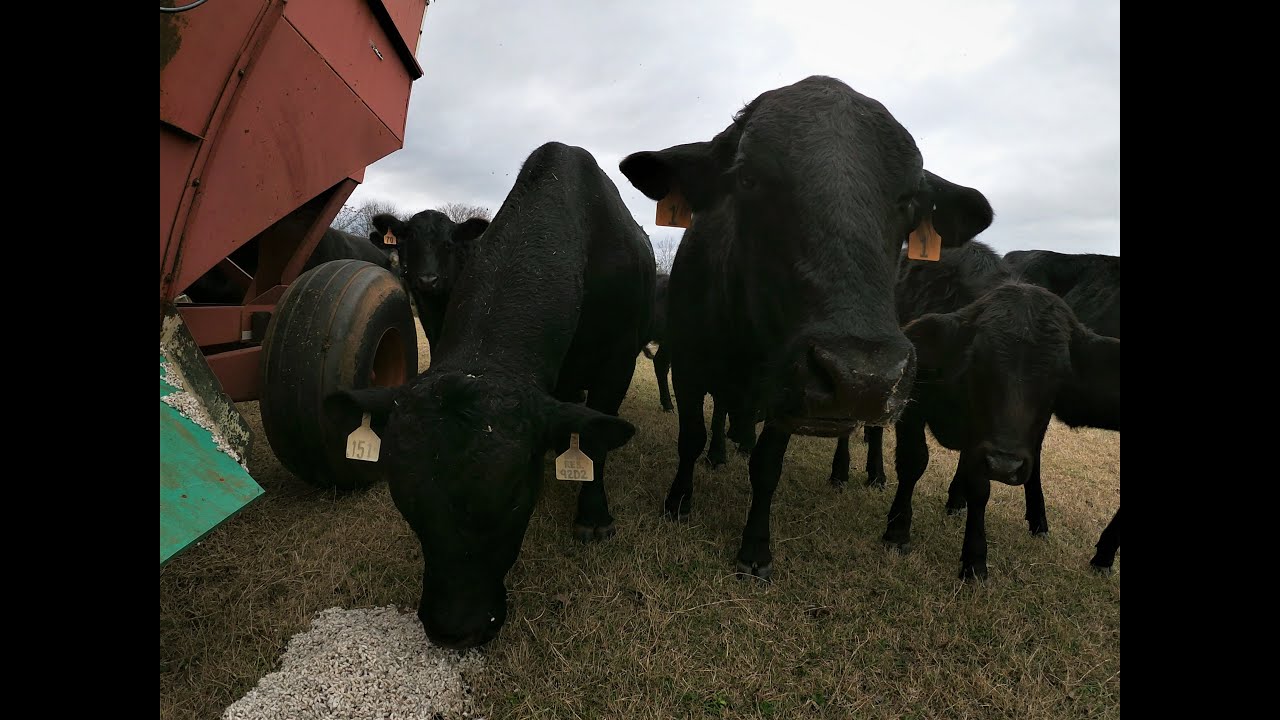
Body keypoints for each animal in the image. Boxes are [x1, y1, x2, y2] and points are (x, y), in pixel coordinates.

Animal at [619, 75, 994, 580]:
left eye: (911, 200)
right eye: (747, 178)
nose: (863, 378)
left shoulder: (786, 394)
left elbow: (767, 467)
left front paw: (755, 547)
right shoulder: (691, 367)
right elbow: (690, 436)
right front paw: (678, 502)